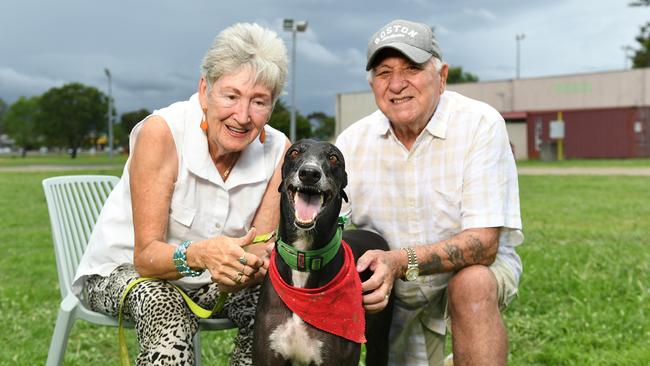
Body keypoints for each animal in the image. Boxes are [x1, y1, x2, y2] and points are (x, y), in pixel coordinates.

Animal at [252, 139, 390, 364]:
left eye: (334, 157)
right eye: (294, 152)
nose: (309, 173)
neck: (303, 258)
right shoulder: (266, 355)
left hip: (380, 339)